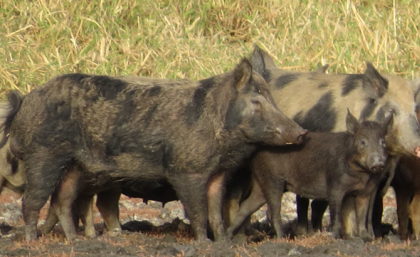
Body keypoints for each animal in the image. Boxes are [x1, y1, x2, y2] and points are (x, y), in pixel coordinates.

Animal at [228, 110, 392, 238]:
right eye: (363, 142)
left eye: (383, 142)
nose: (378, 163)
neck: (361, 175)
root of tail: (256, 151)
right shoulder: (335, 186)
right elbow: (336, 214)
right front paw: (334, 236)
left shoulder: (366, 191)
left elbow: (362, 215)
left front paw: (365, 238)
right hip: (272, 179)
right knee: (272, 211)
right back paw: (283, 238)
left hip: (260, 181)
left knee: (247, 206)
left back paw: (227, 237)